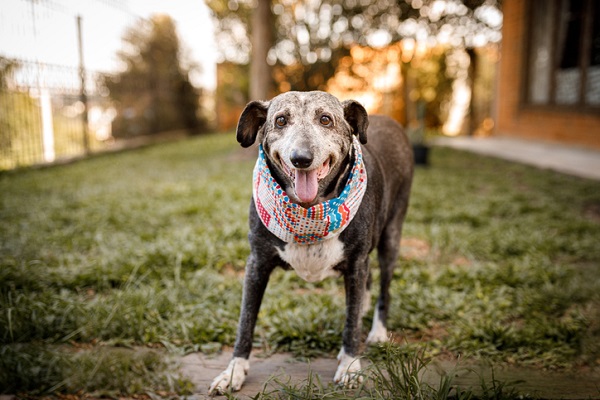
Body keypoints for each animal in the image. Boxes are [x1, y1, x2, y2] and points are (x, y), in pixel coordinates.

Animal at [210, 91, 412, 394]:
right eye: (281, 120)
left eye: (325, 119)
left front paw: (350, 365)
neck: (309, 211)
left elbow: (351, 325)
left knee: (383, 288)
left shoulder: (356, 263)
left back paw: (377, 331)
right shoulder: (256, 264)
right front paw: (234, 371)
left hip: (392, 237)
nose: (301, 158)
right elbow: (246, 321)